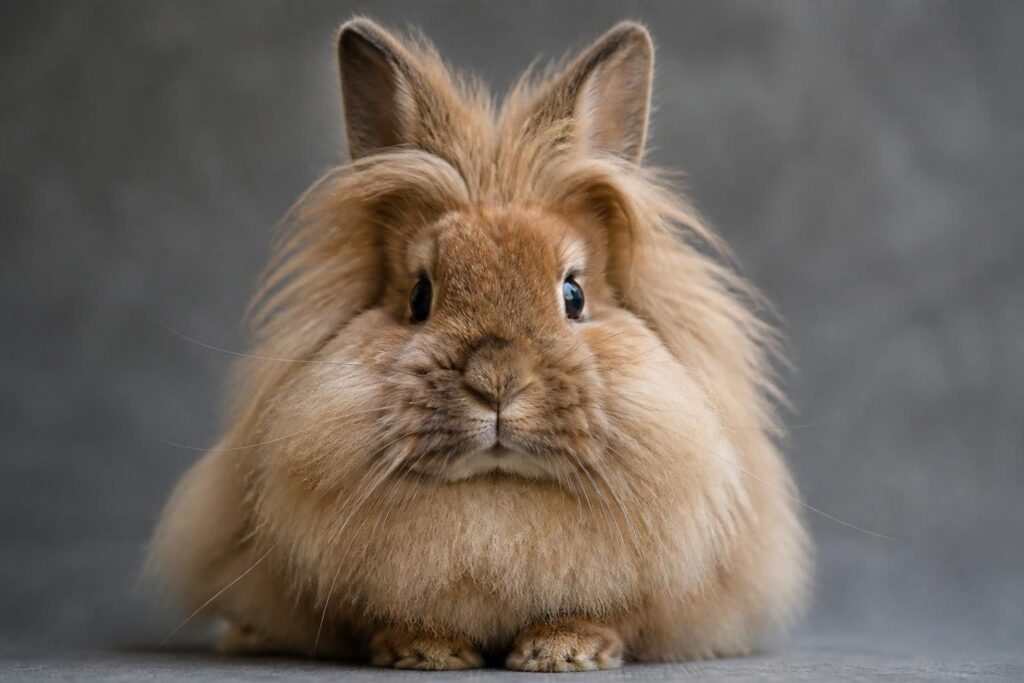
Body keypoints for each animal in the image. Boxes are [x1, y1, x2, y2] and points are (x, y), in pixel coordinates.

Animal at [147, 17, 810, 671]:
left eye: (574, 295)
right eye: (420, 296)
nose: (496, 381)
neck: (495, 499)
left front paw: (564, 650)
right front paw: (424, 649)